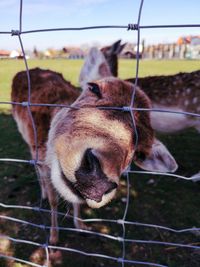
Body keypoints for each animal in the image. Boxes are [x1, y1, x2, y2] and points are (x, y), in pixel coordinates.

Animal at [11, 46, 177, 249]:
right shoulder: (43, 161)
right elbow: (53, 201)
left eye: (141, 153)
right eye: (94, 87)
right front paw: (53, 238)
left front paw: (80, 225)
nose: (96, 181)